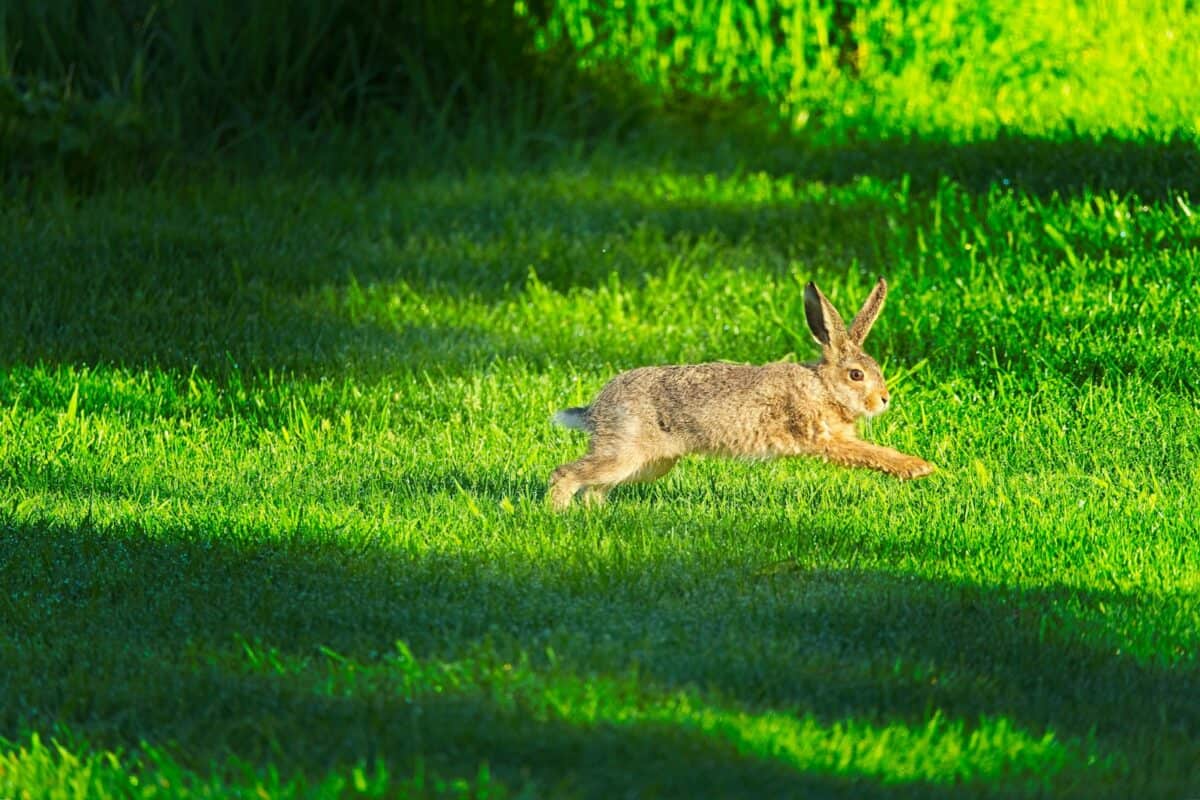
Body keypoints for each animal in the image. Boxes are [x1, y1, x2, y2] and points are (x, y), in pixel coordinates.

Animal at [547, 278, 935, 509]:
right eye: (856, 375)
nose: (884, 399)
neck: (823, 387)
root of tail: (594, 410)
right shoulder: (823, 437)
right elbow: (869, 452)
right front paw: (918, 468)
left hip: (651, 463)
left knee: (595, 487)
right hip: (625, 452)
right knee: (565, 474)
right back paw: (559, 514)